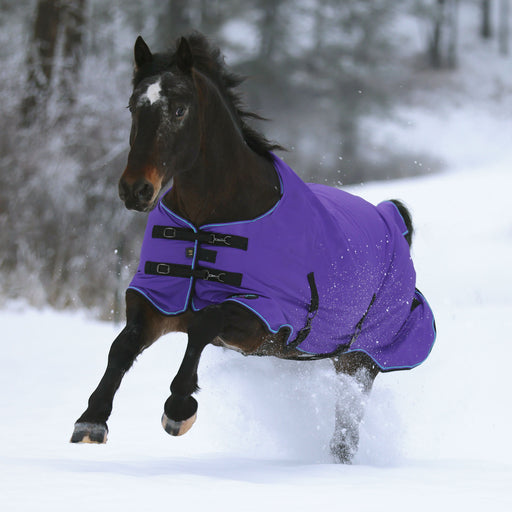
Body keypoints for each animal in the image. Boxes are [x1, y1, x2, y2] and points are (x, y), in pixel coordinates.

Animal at [71, 33, 436, 464]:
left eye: (179, 109)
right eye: (133, 106)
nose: (135, 189)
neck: (210, 220)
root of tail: (392, 220)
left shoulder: (263, 317)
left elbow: (204, 326)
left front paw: (179, 408)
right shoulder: (159, 299)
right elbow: (123, 346)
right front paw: (92, 420)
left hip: (360, 360)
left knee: (346, 432)